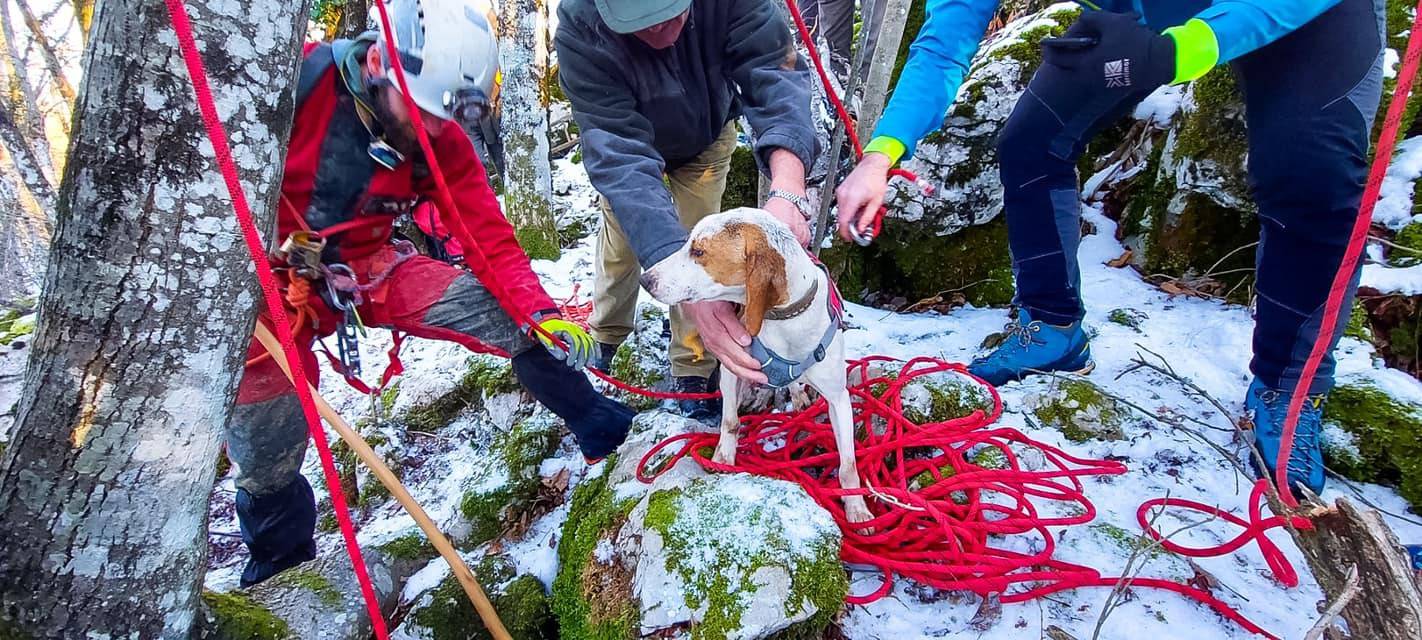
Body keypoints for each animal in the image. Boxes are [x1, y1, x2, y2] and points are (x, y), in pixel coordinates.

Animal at [642, 206, 864, 526]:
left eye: (699, 251)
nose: (646, 280)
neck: (784, 319)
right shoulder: (732, 368)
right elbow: (730, 422)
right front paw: (723, 458)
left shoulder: (839, 398)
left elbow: (848, 463)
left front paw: (857, 507)